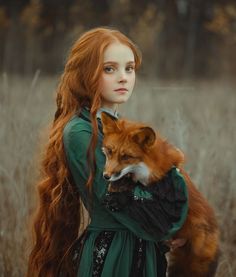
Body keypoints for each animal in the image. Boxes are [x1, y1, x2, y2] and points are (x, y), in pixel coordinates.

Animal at [99, 112, 219, 276]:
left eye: (126, 157)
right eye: (110, 151)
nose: (106, 176)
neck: (147, 168)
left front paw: (120, 196)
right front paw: (121, 185)